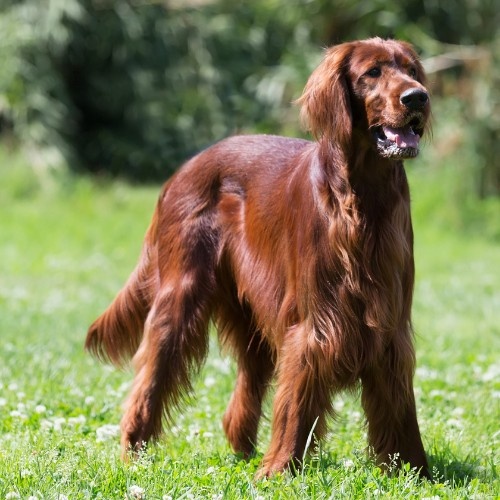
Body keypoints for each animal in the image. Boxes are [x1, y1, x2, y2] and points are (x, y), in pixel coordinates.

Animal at [85, 38, 430, 476]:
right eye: (372, 72)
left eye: (413, 71)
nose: (417, 97)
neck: (364, 198)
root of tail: (181, 172)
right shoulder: (314, 322)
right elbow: (297, 398)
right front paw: (281, 468)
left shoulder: (390, 325)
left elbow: (399, 404)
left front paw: (415, 470)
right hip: (180, 296)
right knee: (151, 376)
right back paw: (134, 451)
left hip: (248, 314)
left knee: (248, 379)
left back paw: (243, 448)